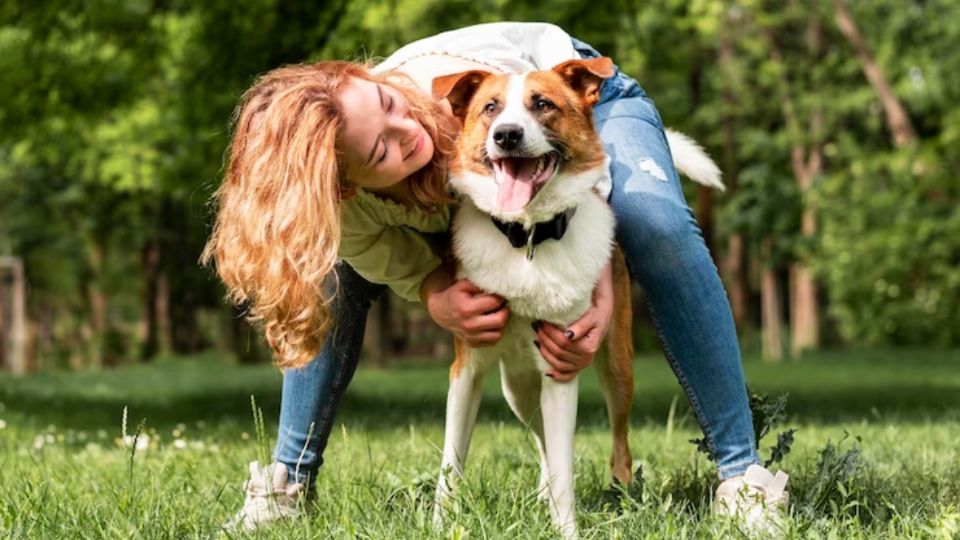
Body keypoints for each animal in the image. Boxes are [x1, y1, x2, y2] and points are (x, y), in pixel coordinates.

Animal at [430, 57, 720, 536]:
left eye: (542, 104)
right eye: (490, 107)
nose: (506, 135)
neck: (527, 238)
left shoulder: (562, 368)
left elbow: (566, 469)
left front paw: (566, 529)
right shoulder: (465, 368)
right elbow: (451, 463)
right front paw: (441, 524)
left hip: (616, 368)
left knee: (617, 447)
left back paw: (620, 497)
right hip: (517, 389)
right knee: (543, 443)